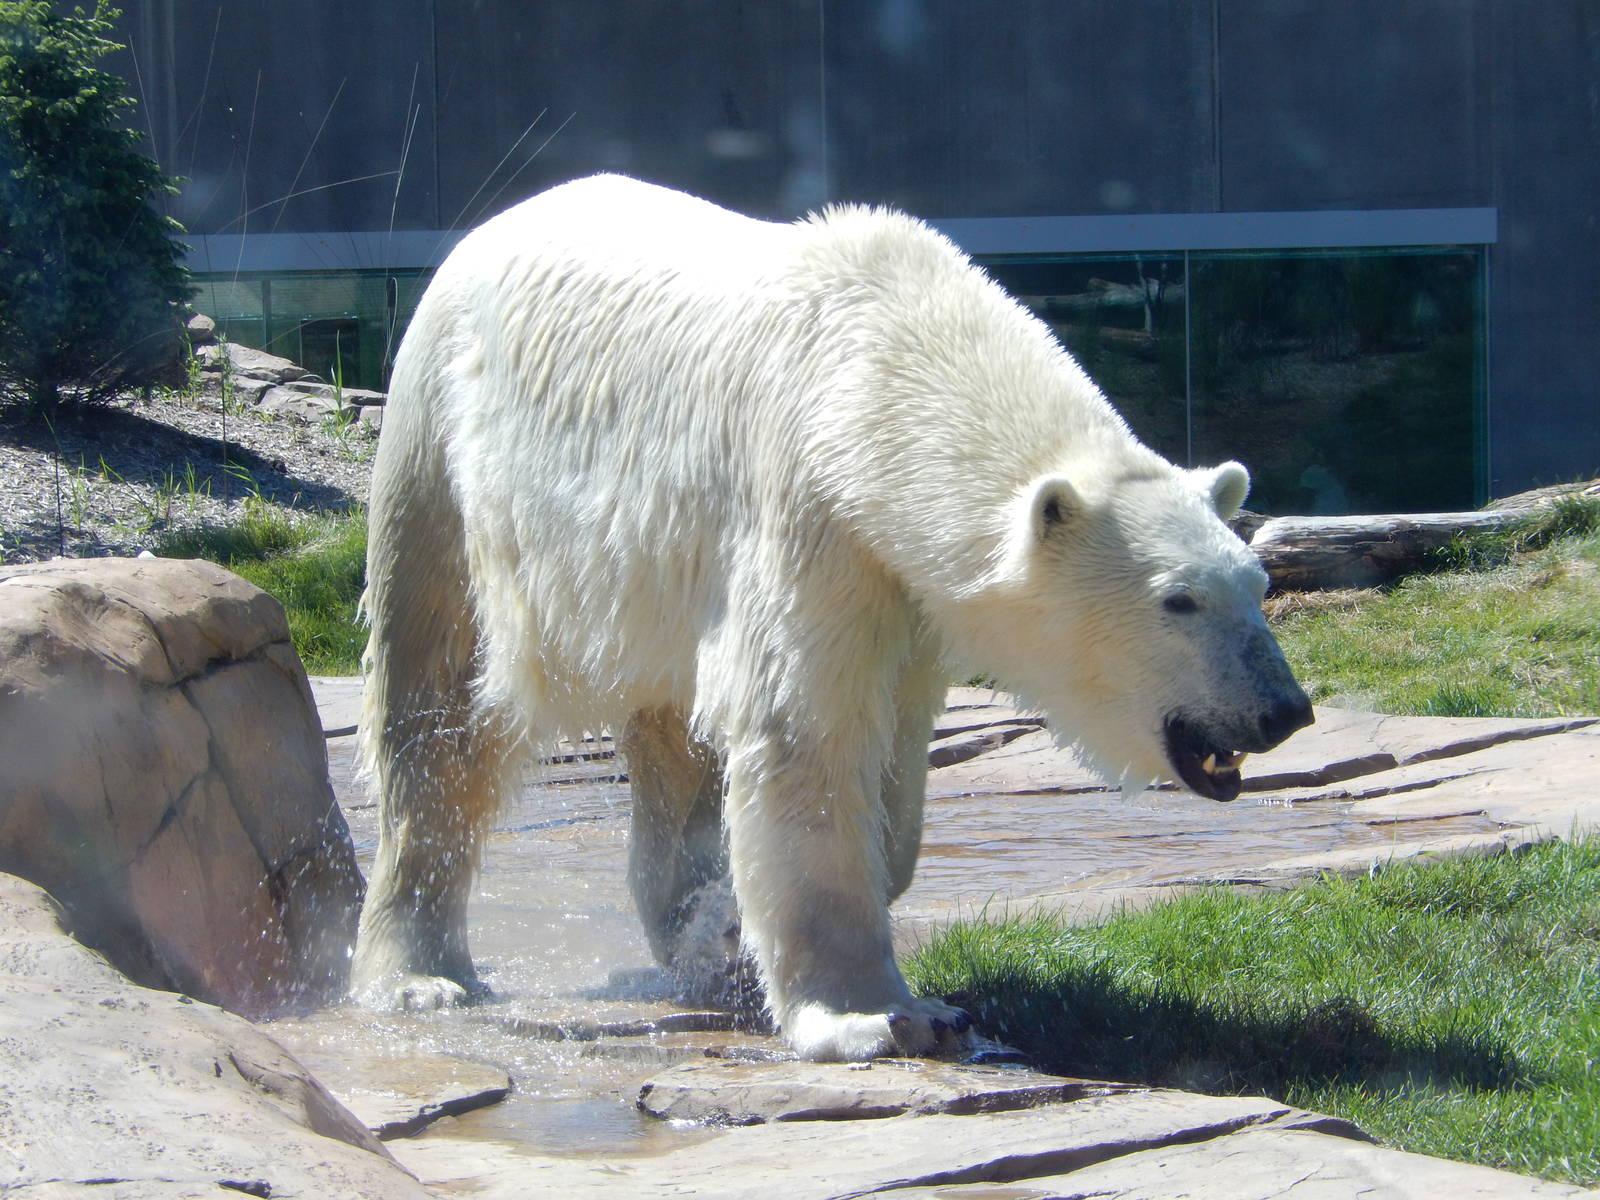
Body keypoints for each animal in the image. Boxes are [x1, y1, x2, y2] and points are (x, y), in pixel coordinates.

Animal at [350, 173, 1314, 1061]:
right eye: (1178, 599)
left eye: (1258, 583)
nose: (1284, 710)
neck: (879, 370)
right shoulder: (806, 511)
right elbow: (804, 730)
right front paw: (876, 1016)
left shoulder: (905, 586)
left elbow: (890, 762)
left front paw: (745, 923)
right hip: (441, 449)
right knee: (436, 707)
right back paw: (419, 973)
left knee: (669, 734)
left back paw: (691, 928)